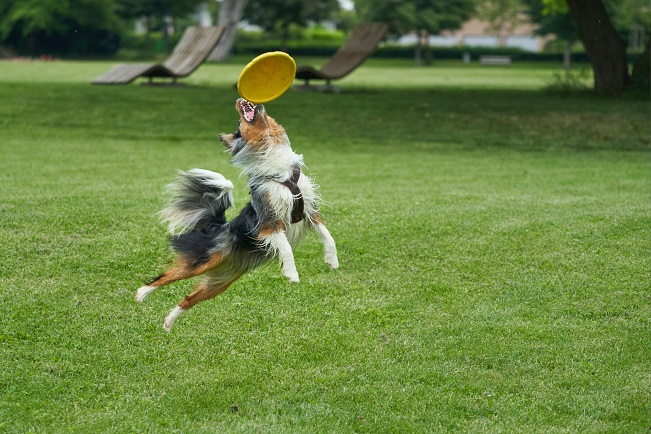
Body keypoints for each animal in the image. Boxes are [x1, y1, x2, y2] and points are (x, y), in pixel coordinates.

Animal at [138, 96, 342, 330]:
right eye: (238, 124)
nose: (245, 100)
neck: (280, 170)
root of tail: (217, 226)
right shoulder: (269, 222)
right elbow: (286, 248)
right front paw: (291, 273)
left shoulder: (309, 210)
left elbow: (328, 236)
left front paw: (332, 261)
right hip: (202, 260)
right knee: (167, 275)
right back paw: (142, 293)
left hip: (220, 282)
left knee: (188, 299)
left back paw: (168, 323)